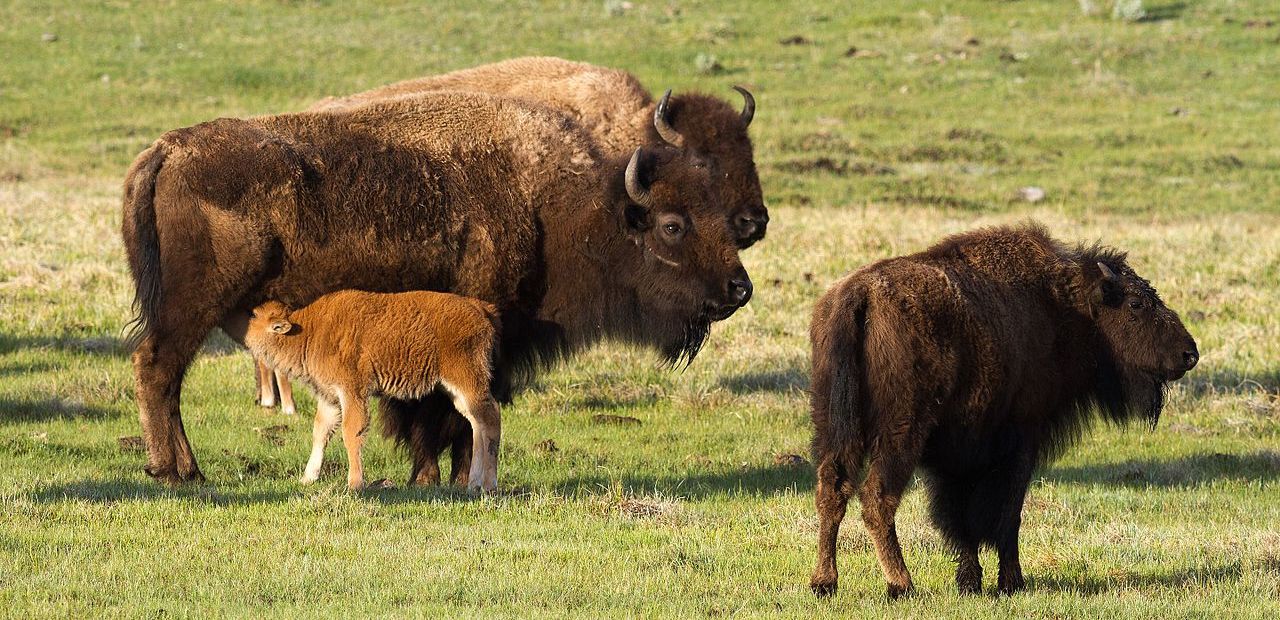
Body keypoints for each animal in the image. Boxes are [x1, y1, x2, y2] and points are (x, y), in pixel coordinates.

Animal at [241, 292, 501, 494]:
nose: (245, 336)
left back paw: (488, 486)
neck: (308, 331)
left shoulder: (352, 392)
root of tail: (480, 308)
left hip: (467, 381)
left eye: (254, 316)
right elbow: (321, 431)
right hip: (457, 391)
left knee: (490, 420)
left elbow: (351, 432)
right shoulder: (330, 397)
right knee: (477, 424)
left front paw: (354, 484)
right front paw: (308, 478)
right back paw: (474, 484)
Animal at [808, 222, 1198, 596]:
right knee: (877, 497)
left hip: (833, 427)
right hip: (901, 433)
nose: (1189, 353)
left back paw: (824, 583)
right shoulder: (1022, 440)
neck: (1061, 306)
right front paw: (1011, 582)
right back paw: (901, 584)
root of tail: (861, 294)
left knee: (832, 489)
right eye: (1135, 304)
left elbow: (962, 519)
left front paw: (970, 582)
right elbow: (1007, 516)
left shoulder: (961, 457)